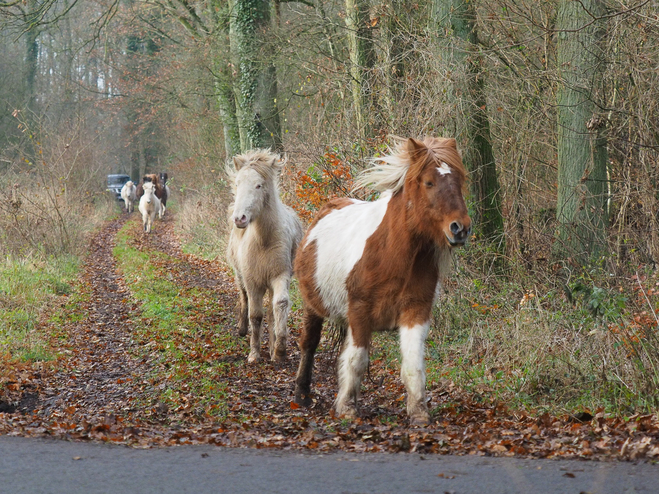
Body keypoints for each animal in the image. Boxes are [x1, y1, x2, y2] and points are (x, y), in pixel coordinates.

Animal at [227, 149, 304, 360]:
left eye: (258, 185)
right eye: (238, 183)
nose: (239, 218)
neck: (264, 240)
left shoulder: (279, 276)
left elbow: (279, 305)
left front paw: (279, 350)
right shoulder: (252, 281)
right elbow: (255, 314)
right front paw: (254, 354)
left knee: (271, 310)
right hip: (240, 275)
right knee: (244, 297)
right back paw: (242, 329)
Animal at [292, 138, 470, 424]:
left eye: (459, 180)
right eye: (429, 182)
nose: (460, 228)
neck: (395, 255)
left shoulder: (416, 311)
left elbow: (412, 364)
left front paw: (419, 411)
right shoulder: (359, 312)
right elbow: (356, 360)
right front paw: (348, 408)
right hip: (313, 307)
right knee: (309, 344)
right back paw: (302, 395)